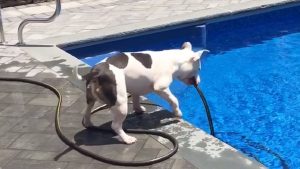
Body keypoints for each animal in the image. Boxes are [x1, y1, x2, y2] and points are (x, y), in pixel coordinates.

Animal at [74, 42, 207, 144]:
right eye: (199, 68)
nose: (199, 81)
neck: (173, 60)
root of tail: (96, 72)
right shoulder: (161, 88)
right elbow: (174, 100)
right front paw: (178, 113)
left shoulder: (136, 88)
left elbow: (136, 98)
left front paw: (138, 109)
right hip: (121, 103)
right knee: (115, 125)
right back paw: (127, 139)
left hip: (91, 98)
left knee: (87, 111)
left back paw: (89, 123)